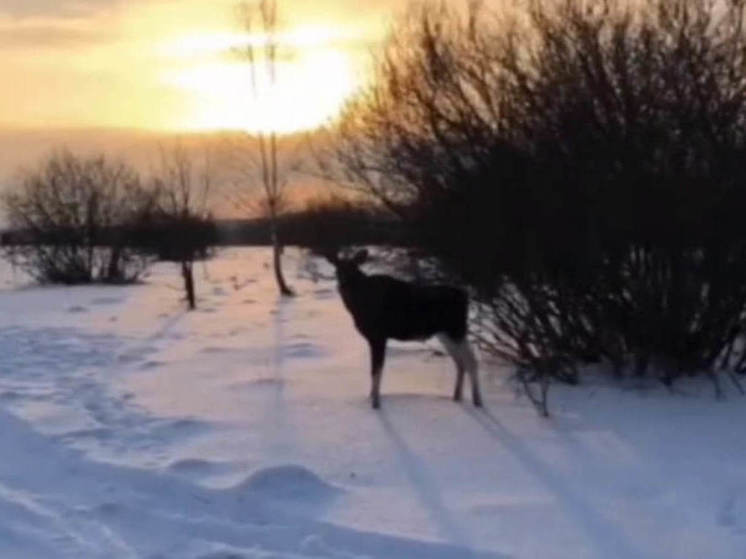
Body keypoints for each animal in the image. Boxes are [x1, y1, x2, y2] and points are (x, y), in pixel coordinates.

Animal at [322, 249, 480, 412]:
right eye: (337, 269)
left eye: (354, 268)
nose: (343, 284)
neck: (360, 304)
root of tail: (465, 296)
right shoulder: (374, 338)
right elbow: (373, 369)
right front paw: (371, 397)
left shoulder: (379, 335)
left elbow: (377, 369)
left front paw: (376, 403)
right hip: (445, 333)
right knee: (460, 362)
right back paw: (457, 397)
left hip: (456, 329)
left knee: (471, 361)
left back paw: (477, 401)